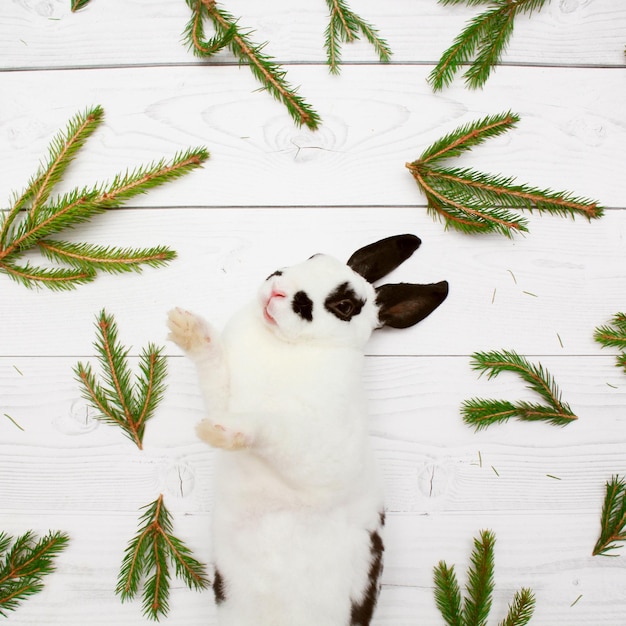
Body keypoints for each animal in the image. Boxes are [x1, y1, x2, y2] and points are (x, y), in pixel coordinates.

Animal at [166, 232, 448, 620]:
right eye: (315, 256)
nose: (279, 288)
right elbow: (213, 365)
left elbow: (270, 427)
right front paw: (186, 327)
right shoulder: (225, 396)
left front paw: (220, 431)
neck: (291, 345)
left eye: (345, 306)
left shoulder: (315, 452)